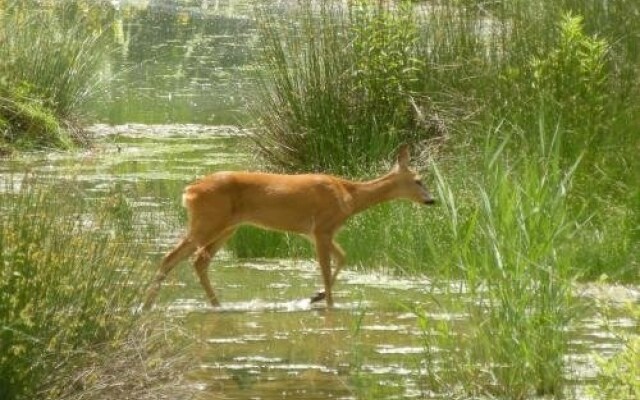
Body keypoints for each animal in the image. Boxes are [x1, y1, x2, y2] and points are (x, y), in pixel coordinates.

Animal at [143, 145, 438, 310]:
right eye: (419, 180)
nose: (432, 200)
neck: (349, 196)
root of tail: (189, 191)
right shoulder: (321, 228)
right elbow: (326, 268)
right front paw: (326, 302)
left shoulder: (318, 232)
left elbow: (343, 257)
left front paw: (316, 296)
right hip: (208, 222)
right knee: (172, 257)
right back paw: (147, 306)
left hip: (226, 228)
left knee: (198, 261)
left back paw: (215, 305)